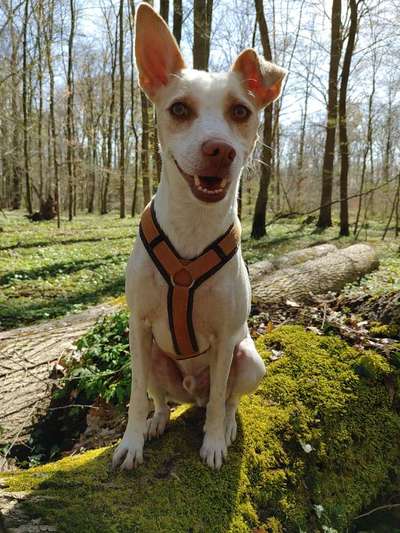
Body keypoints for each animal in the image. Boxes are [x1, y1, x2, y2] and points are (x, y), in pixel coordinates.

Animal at [112, 4, 288, 470]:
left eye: (241, 112)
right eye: (179, 109)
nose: (219, 149)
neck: (193, 222)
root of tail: (192, 390)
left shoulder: (226, 338)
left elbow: (220, 398)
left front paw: (212, 442)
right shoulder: (138, 327)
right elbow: (135, 398)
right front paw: (131, 442)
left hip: (250, 360)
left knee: (223, 399)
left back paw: (224, 426)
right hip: (155, 358)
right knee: (159, 396)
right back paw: (157, 421)